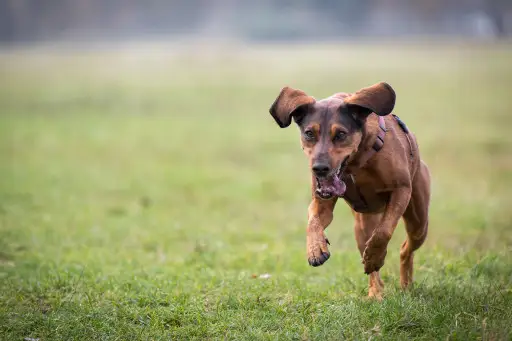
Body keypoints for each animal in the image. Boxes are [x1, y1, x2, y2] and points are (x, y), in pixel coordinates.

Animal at [270, 81, 430, 298]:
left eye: (341, 134)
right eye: (309, 133)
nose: (319, 168)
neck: (357, 163)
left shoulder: (401, 190)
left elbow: (384, 231)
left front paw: (375, 256)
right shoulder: (322, 201)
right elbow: (313, 221)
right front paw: (315, 249)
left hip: (419, 222)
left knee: (405, 248)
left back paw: (403, 283)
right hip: (361, 227)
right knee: (373, 262)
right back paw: (375, 293)